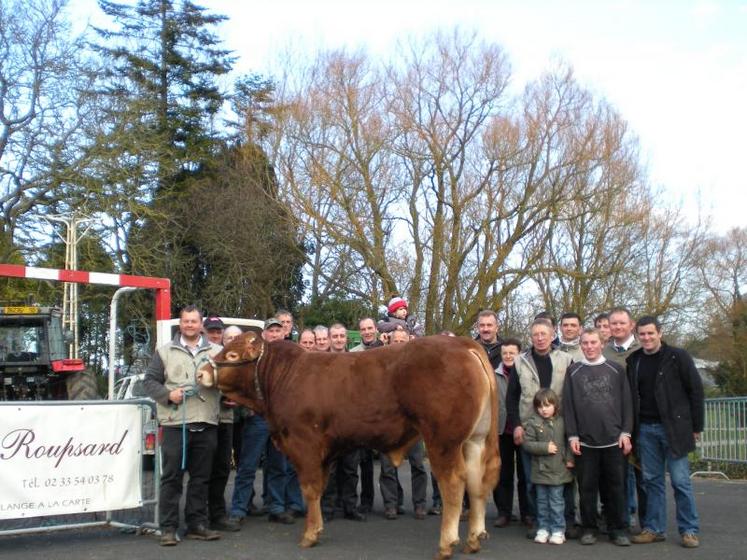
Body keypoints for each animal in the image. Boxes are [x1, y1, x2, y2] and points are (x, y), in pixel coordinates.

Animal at [197, 334, 496, 556]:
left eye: (232, 356)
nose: (201, 373)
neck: (282, 378)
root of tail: (461, 343)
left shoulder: (303, 444)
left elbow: (309, 489)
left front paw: (310, 534)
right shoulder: (324, 451)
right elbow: (319, 489)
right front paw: (317, 528)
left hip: (442, 440)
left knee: (454, 483)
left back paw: (447, 543)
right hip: (474, 440)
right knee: (476, 481)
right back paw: (473, 539)